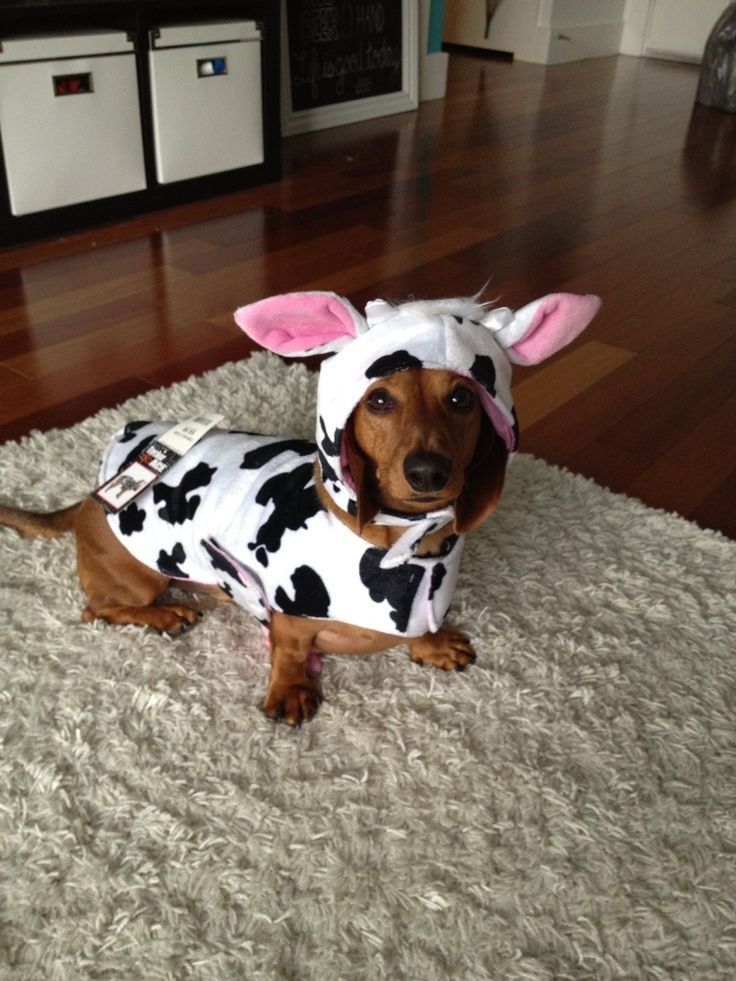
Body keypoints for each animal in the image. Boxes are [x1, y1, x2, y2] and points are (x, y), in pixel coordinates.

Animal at [0, 288, 600, 724]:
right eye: (379, 399)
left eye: (460, 398)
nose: (427, 472)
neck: (397, 548)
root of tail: (92, 492)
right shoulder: (287, 610)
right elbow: (288, 647)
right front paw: (290, 689)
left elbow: (420, 629)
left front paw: (431, 643)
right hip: (139, 575)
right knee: (99, 609)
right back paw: (165, 614)